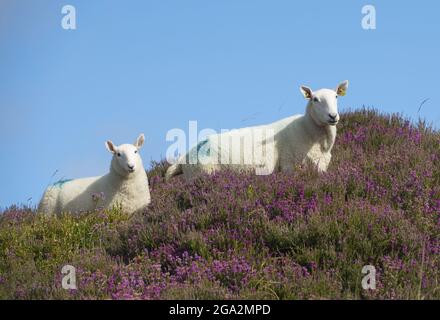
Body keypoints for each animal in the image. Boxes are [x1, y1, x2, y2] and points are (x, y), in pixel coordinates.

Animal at [166, 80, 350, 180]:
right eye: (315, 99)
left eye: (336, 96)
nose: (333, 116)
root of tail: (183, 157)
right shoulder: (289, 166)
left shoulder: (321, 166)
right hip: (203, 173)